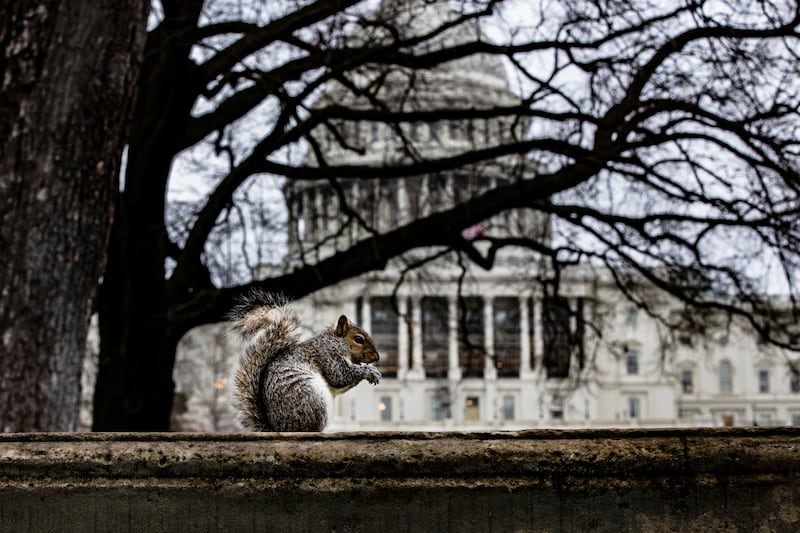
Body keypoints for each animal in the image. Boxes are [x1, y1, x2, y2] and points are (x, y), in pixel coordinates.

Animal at [229, 292, 381, 432]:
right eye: (358, 339)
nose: (377, 357)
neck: (334, 343)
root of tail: (279, 429)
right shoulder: (327, 356)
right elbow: (340, 376)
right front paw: (370, 371)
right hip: (311, 400)